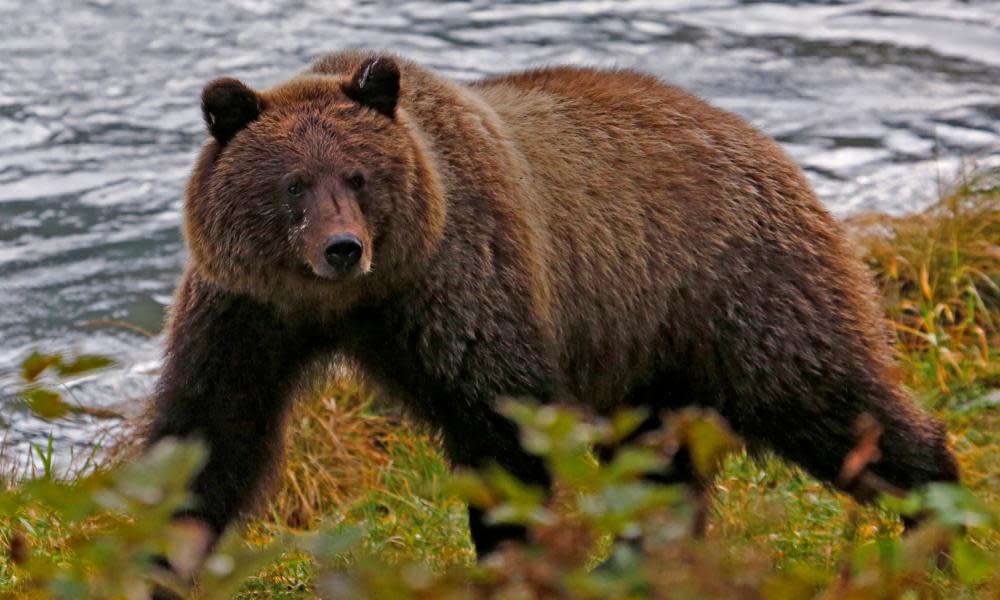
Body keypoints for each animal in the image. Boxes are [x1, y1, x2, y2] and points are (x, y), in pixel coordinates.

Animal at [145, 49, 956, 568]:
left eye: (358, 175)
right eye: (293, 184)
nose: (342, 246)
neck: (352, 301)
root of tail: (762, 142)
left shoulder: (466, 281)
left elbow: (503, 433)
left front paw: (508, 556)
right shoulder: (247, 309)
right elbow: (212, 434)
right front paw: (163, 558)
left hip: (741, 289)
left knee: (831, 404)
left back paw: (943, 526)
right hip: (653, 351)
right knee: (659, 471)